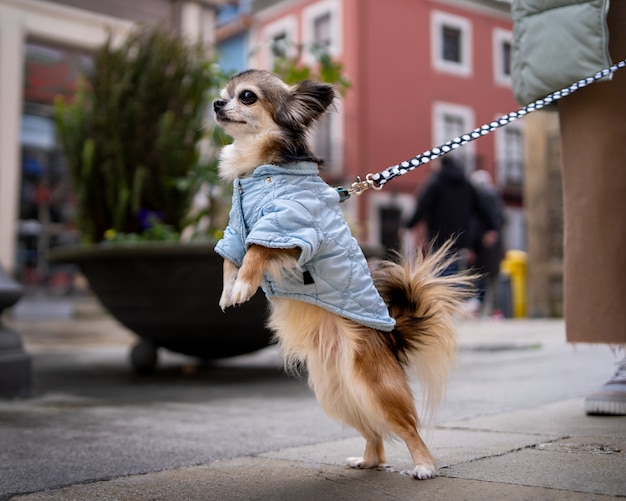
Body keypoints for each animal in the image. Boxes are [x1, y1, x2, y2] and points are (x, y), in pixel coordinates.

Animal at [212, 68, 470, 478]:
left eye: (247, 97)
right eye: (224, 93)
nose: (217, 103)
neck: (257, 172)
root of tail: (391, 337)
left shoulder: (293, 229)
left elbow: (256, 251)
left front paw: (242, 287)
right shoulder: (236, 228)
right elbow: (229, 259)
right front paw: (228, 292)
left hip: (373, 384)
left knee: (408, 426)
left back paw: (424, 465)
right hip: (336, 392)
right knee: (374, 432)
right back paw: (368, 460)